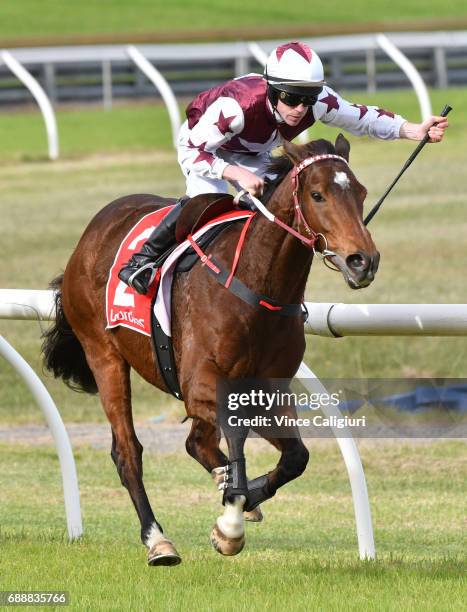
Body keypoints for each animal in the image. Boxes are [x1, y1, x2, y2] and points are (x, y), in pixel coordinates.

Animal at [42, 136, 380, 568]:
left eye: (361, 193)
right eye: (317, 194)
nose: (362, 261)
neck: (257, 285)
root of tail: (91, 232)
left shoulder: (269, 391)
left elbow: (295, 456)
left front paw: (241, 501)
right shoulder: (201, 384)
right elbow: (237, 442)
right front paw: (231, 522)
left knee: (197, 443)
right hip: (103, 355)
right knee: (128, 452)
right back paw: (158, 540)